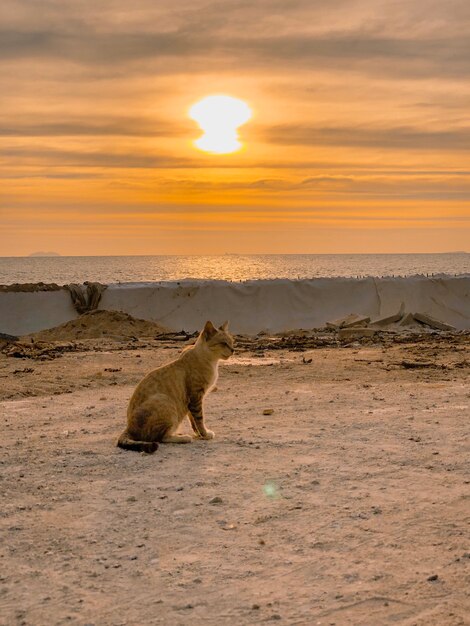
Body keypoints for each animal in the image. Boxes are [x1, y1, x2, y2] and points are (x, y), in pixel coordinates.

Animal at [116, 320, 234, 450]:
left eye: (232, 342)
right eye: (223, 343)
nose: (233, 350)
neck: (212, 362)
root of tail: (129, 428)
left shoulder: (191, 402)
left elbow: (193, 421)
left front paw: (198, 434)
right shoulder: (196, 397)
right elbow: (199, 419)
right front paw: (205, 434)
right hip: (165, 401)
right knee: (160, 438)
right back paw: (184, 437)